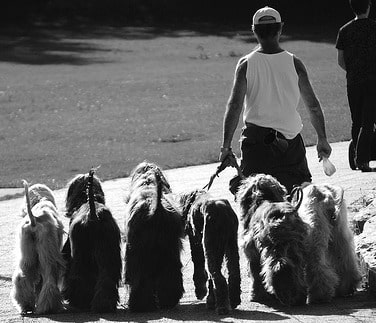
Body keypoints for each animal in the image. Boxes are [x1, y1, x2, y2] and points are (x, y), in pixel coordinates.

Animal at [10, 181, 65, 316]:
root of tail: (34, 219)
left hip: (27, 252)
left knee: (22, 276)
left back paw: (25, 305)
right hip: (47, 251)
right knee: (49, 277)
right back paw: (50, 307)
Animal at [61, 170, 121, 314]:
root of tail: (93, 214)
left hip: (81, 255)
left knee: (79, 277)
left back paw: (79, 301)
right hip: (109, 252)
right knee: (107, 278)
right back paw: (104, 305)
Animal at [124, 162, 184, 314]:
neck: (147, 181)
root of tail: (155, 209)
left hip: (137, 254)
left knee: (141, 281)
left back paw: (140, 306)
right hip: (170, 251)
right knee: (170, 276)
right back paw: (168, 301)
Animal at [238, 175, 308, 306]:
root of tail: (283, 214)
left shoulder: (251, 251)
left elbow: (255, 273)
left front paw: (256, 295)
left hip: (274, 245)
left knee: (278, 265)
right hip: (293, 245)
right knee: (295, 266)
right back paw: (299, 295)